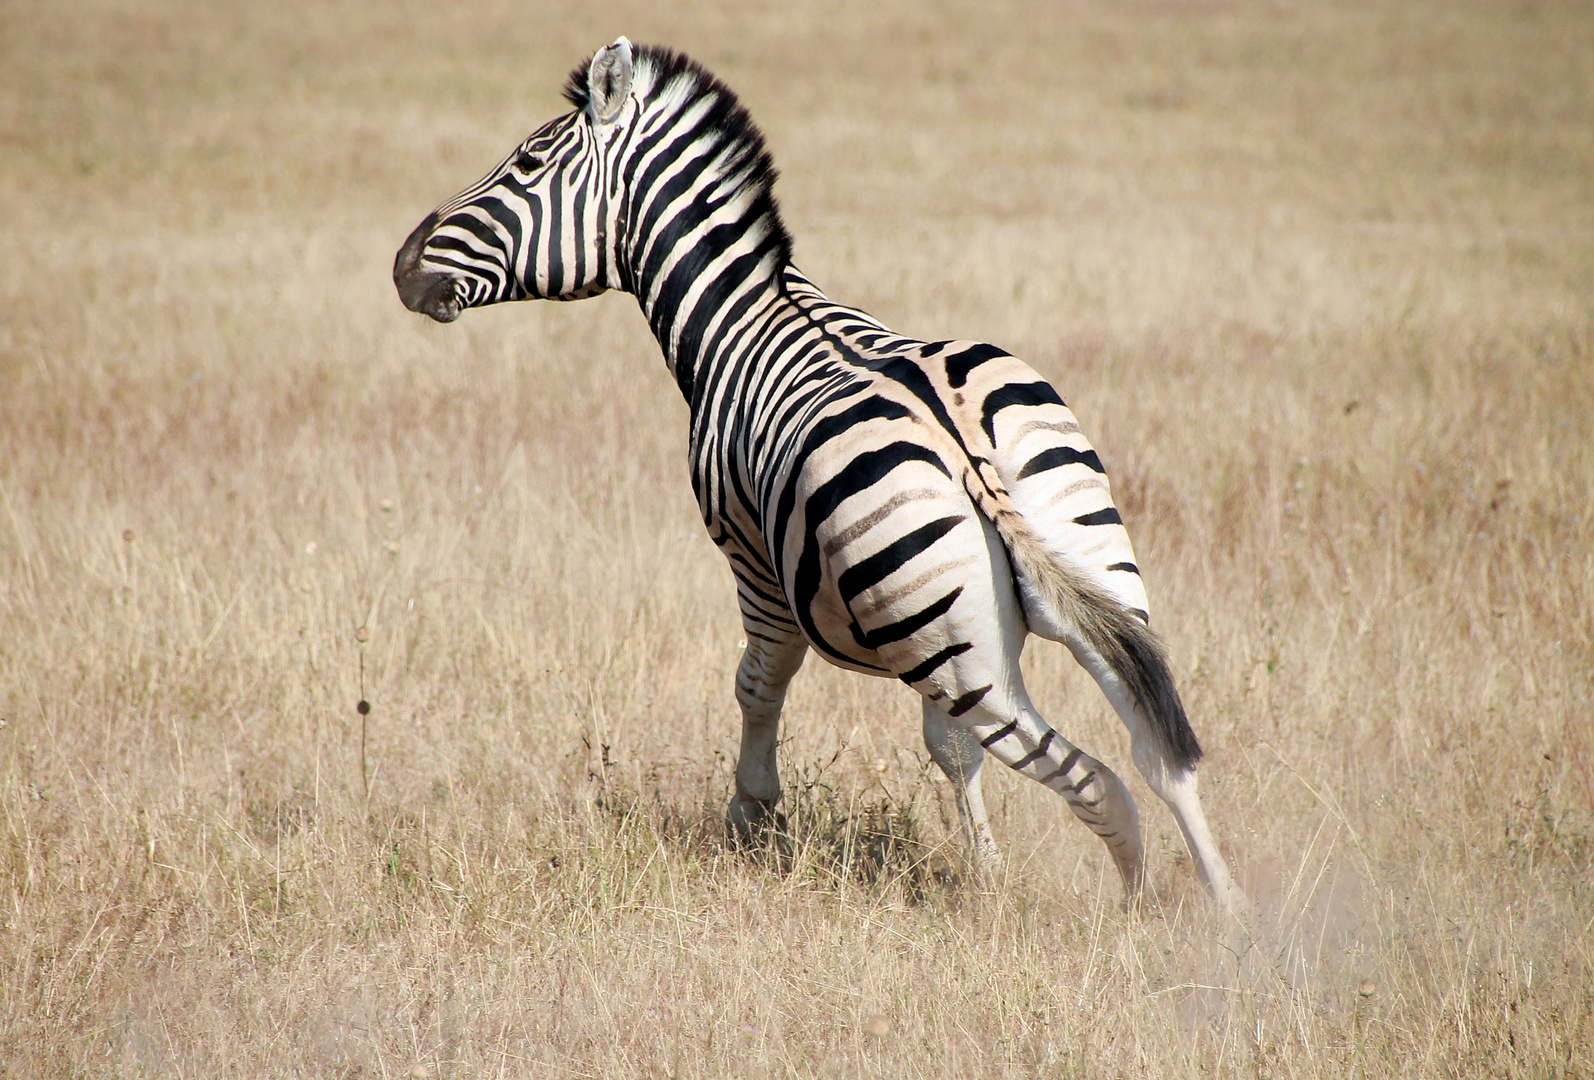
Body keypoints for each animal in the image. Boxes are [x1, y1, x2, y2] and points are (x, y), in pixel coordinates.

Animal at [395, 38, 1243, 911]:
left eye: (528, 162)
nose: (402, 266)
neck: (743, 316)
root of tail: (958, 433)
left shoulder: (753, 564)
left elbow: (758, 683)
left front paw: (752, 814)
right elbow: (948, 748)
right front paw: (983, 867)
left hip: (961, 654)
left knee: (1099, 782)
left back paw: (1135, 906)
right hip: (1082, 569)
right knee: (1160, 753)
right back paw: (1227, 909)